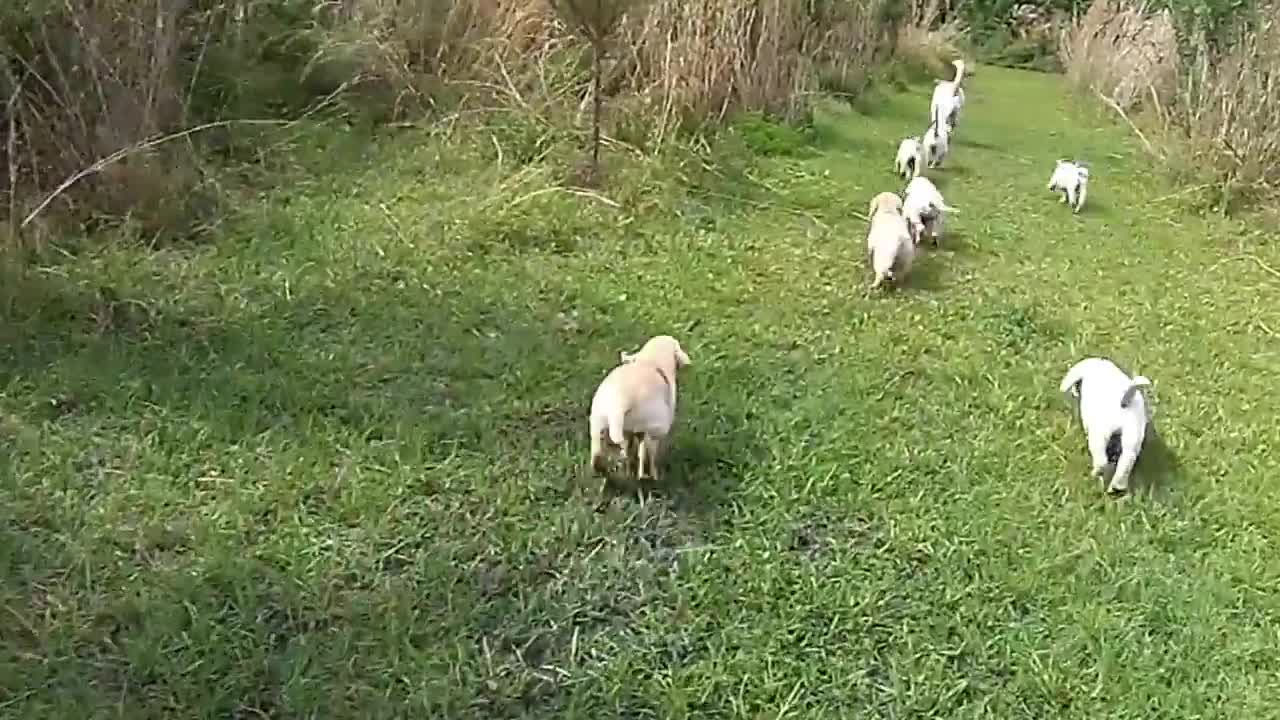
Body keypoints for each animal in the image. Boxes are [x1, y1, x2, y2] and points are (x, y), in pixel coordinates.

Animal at [586, 333, 691, 479]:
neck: (650, 360)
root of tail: (620, 401)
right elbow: (647, 454)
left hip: (598, 426)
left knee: (598, 455)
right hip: (655, 427)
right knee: (648, 451)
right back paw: (648, 476)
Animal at [1054, 353, 1157, 489]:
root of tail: (1123, 402)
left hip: (1099, 436)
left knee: (1102, 461)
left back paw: (1096, 474)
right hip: (1132, 439)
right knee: (1126, 462)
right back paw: (1117, 486)